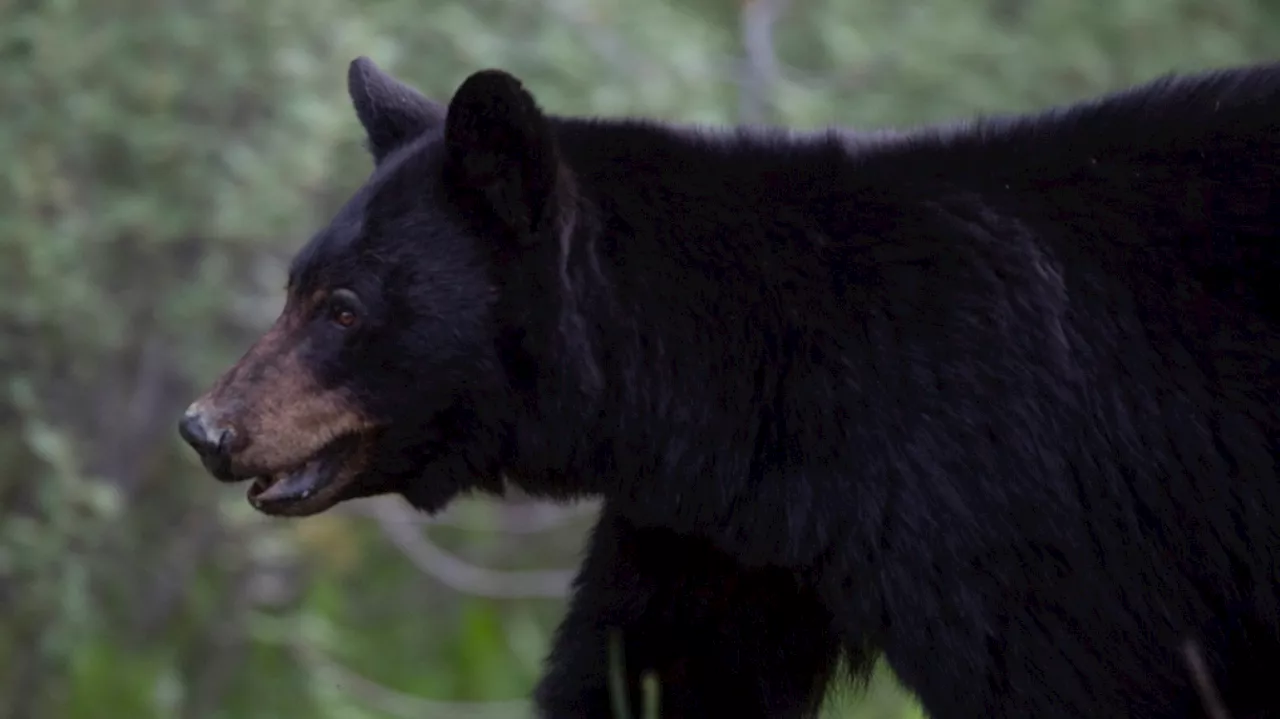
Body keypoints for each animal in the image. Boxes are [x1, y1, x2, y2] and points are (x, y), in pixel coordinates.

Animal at [183, 57, 1280, 716]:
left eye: (344, 308)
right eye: (294, 285)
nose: (205, 426)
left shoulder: (1019, 502)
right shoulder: (722, 536)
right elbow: (652, 671)